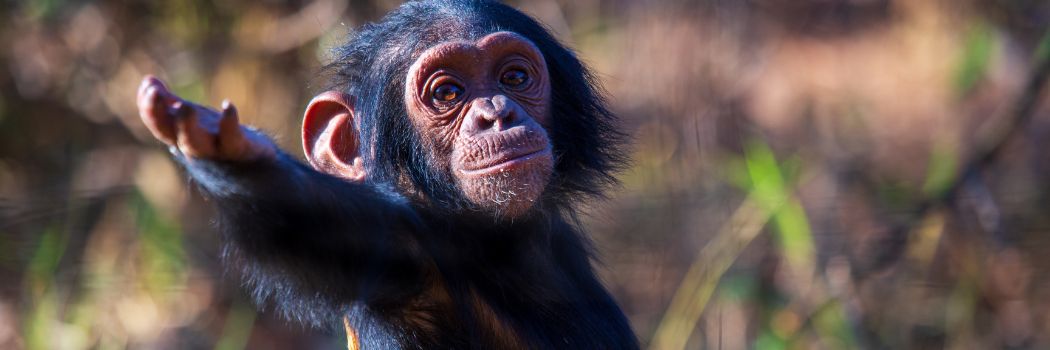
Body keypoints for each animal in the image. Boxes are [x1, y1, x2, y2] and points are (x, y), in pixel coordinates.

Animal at [135, 0, 634, 346]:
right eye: (447, 93)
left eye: (514, 78)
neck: (495, 245)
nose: (497, 114)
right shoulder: (401, 252)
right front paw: (229, 147)